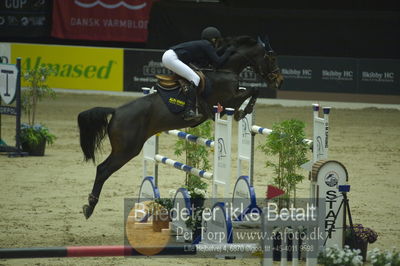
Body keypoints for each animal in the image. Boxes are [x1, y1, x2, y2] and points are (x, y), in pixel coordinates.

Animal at [79, 35, 284, 218]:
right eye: (272, 57)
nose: (279, 80)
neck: (224, 70)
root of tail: (116, 111)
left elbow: (250, 91)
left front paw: (243, 111)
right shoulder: (226, 101)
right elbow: (252, 90)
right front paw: (243, 111)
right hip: (127, 150)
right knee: (103, 170)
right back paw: (90, 206)